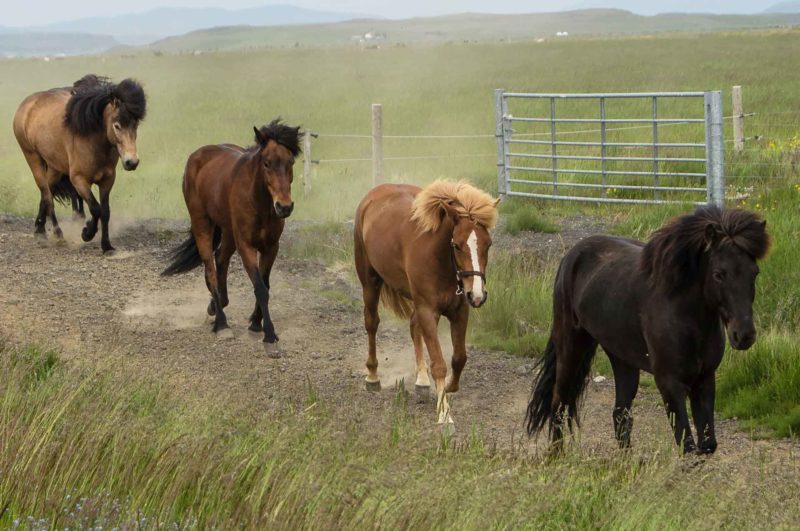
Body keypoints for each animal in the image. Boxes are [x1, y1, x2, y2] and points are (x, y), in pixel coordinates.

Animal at [12, 73, 147, 254]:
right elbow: (95, 208)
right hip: (33, 158)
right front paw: (87, 233)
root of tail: (26, 105)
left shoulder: (107, 180)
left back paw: (39, 230)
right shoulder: (78, 180)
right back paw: (58, 234)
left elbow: (105, 212)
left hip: (54, 167)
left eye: (136, 124)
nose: (131, 162)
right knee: (47, 196)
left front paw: (107, 246)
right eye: (117, 125)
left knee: (47, 192)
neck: (91, 138)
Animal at [162, 118, 304, 348]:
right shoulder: (246, 245)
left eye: (290, 162)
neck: (260, 203)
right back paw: (221, 324)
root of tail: (197, 156)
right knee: (210, 269)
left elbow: (265, 284)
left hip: (228, 231)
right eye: (267, 163)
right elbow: (260, 288)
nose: (284, 207)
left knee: (221, 260)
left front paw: (255, 322)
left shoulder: (271, 247)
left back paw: (216, 304)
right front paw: (269, 333)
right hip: (202, 224)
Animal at [354, 181, 496, 426]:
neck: (441, 260)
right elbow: (438, 364)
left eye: (488, 244)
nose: (477, 295)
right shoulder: (428, 310)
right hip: (370, 282)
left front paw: (448, 386)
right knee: (371, 323)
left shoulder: (459, 311)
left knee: (413, 327)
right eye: (457, 245)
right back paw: (372, 377)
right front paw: (444, 414)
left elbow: (459, 358)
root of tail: (373, 195)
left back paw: (421, 381)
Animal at [524, 206, 768, 456]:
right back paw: (556, 456)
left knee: (620, 414)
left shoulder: (705, 378)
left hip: (622, 359)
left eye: (755, 273)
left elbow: (707, 444)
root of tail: (571, 256)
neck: (686, 316)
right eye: (719, 274)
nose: (744, 335)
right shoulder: (669, 381)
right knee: (559, 403)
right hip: (571, 346)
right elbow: (687, 443)